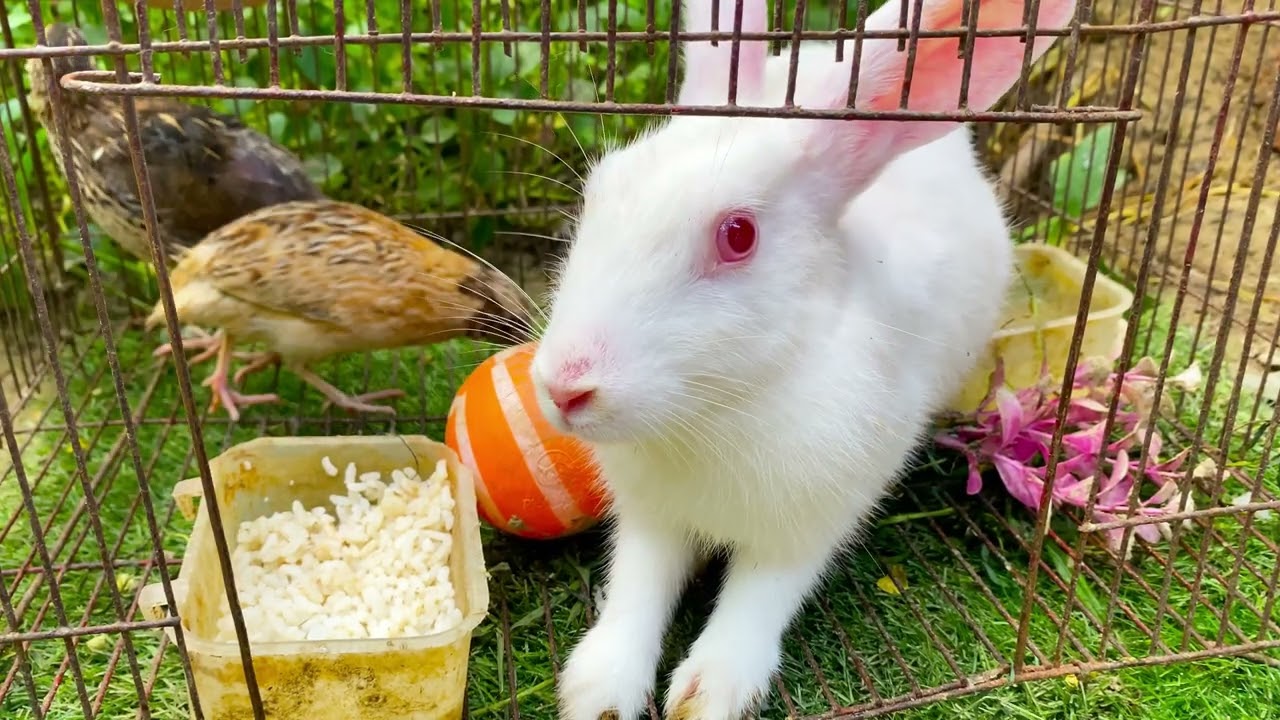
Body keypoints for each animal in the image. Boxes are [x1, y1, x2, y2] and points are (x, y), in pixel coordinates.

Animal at [529, 0, 1078, 718]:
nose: (564, 387)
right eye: (597, 193)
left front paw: (709, 693)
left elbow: (756, 600)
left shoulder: (806, 524)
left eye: (738, 235)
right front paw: (599, 691)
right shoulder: (649, 519)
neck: (715, 410)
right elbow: (638, 589)